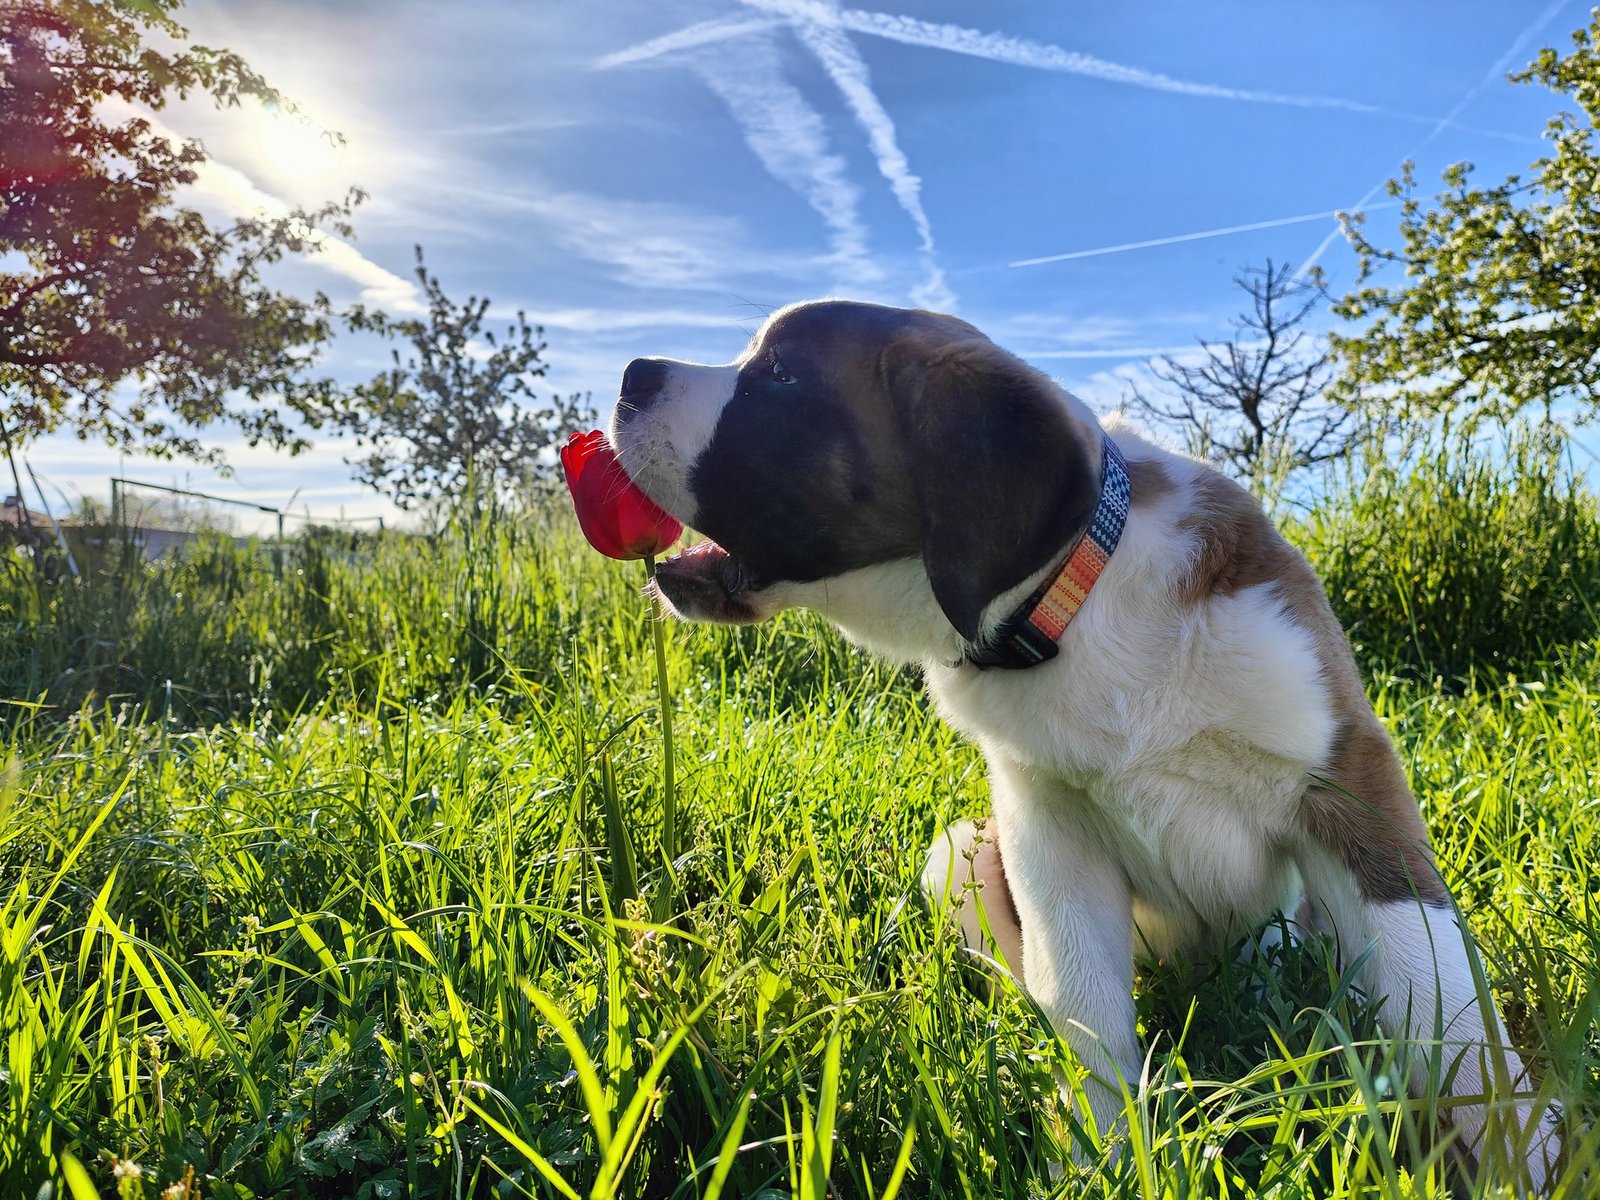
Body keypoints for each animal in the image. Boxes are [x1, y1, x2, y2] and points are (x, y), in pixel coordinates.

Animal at [607, 299, 1562, 1187]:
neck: (1072, 602)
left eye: (779, 377)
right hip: (961, 849)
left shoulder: (1347, 779)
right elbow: (1082, 1003)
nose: (629, 374)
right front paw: (1101, 1159)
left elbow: (1441, 988)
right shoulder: (1047, 829)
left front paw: (1528, 1154)